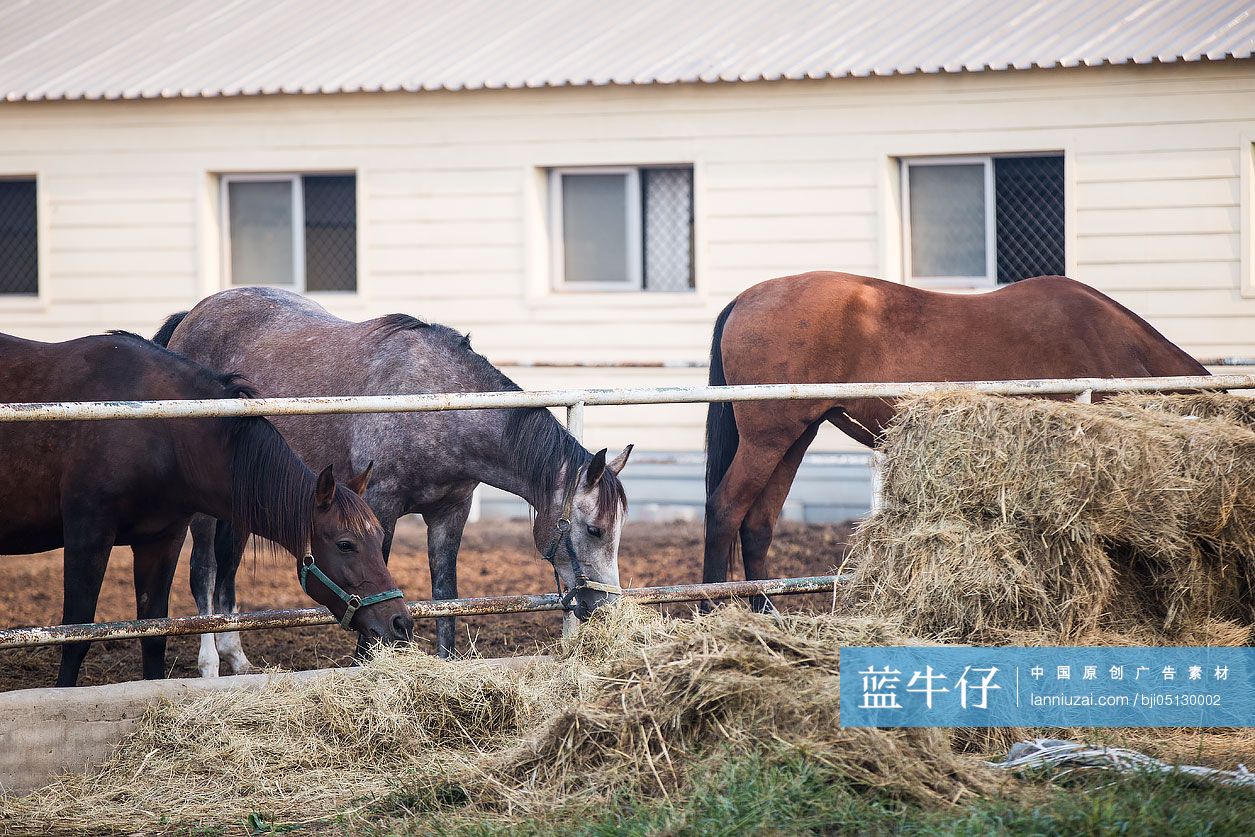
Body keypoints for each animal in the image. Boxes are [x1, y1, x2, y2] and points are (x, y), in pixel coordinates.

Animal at [0, 330, 413, 686]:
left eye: (380, 537)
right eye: (345, 544)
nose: (400, 623)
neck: (160, 432)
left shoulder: (161, 541)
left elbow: (154, 634)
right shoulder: (88, 535)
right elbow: (76, 634)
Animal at [153, 287, 631, 671]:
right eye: (594, 529)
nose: (606, 607)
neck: (436, 402)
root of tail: (192, 316)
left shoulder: (449, 514)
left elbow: (445, 597)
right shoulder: (378, 506)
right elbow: (370, 582)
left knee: (228, 572)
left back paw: (237, 658)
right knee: (204, 572)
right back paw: (210, 664)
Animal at [703, 271, 1209, 607]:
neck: (1117, 345)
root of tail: (745, 299)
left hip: (793, 438)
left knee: (758, 523)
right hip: (767, 440)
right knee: (725, 509)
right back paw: (708, 605)